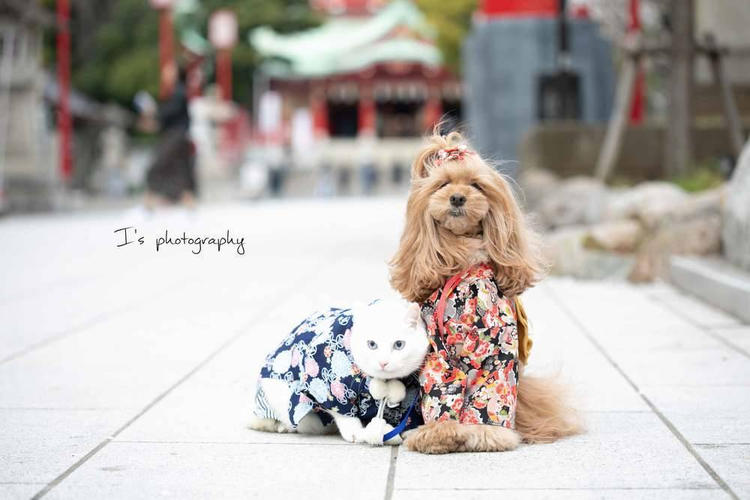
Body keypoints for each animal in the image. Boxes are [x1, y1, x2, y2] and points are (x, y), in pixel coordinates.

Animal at [251, 296, 428, 446]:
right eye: (371, 344)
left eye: (399, 345)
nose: (383, 362)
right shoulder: (329, 387)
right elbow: (342, 412)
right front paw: (356, 432)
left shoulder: (410, 394)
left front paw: (410, 431)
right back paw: (281, 426)